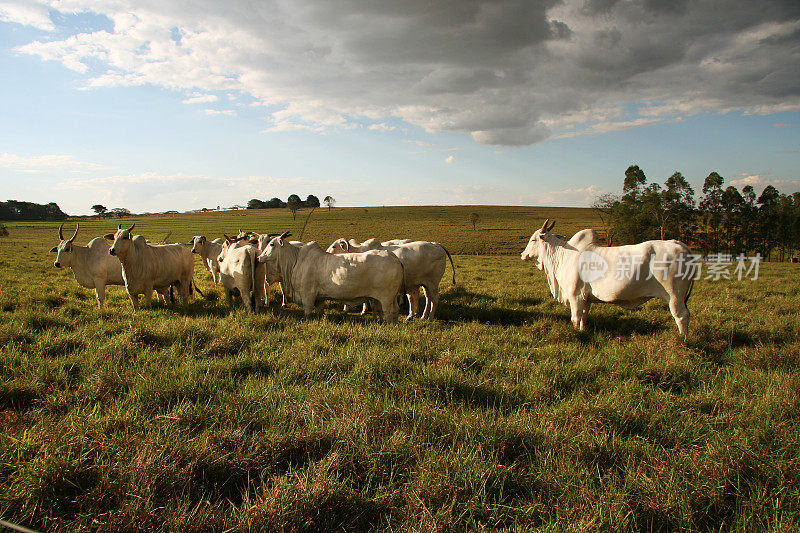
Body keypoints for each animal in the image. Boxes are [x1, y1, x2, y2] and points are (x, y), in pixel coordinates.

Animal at [258, 232, 404, 322]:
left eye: (271, 244)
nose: (259, 257)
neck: (295, 261)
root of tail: (395, 259)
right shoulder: (319, 299)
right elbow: (319, 312)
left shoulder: (307, 296)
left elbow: (308, 314)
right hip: (390, 298)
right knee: (395, 310)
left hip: (386, 298)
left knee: (389, 312)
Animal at [324, 238, 456, 320]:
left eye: (334, 246)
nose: (325, 254)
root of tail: (436, 244)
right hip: (425, 284)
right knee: (427, 298)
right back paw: (421, 316)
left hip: (433, 283)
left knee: (435, 299)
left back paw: (430, 317)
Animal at [520, 218, 696, 334]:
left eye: (533, 239)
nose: (523, 254)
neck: (563, 255)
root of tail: (680, 244)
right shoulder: (585, 298)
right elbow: (584, 317)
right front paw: (583, 331)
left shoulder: (575, 295)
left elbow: (575, 318)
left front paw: (577, 333)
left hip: (674, 296)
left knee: (681, 316)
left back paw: (682, 339)